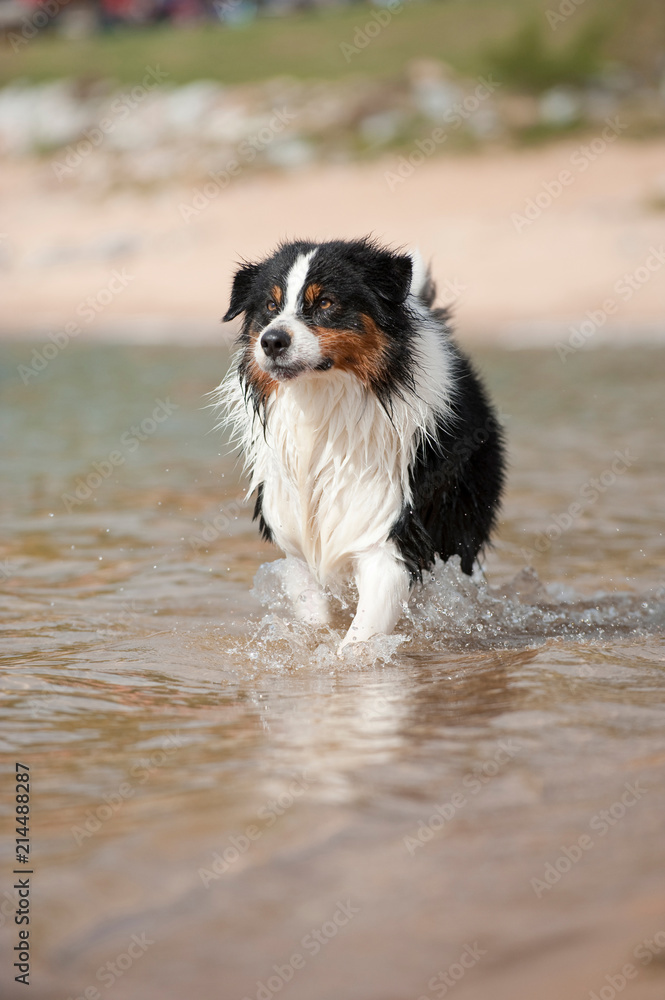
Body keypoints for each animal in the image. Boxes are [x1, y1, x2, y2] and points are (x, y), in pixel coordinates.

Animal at [218, 238, 504, 652]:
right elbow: (317, 615)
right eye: (270, 306)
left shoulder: (387, 532)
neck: (322, 407)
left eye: (325, 302)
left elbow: (359, 639)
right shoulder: (296, 543)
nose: (271, 341)